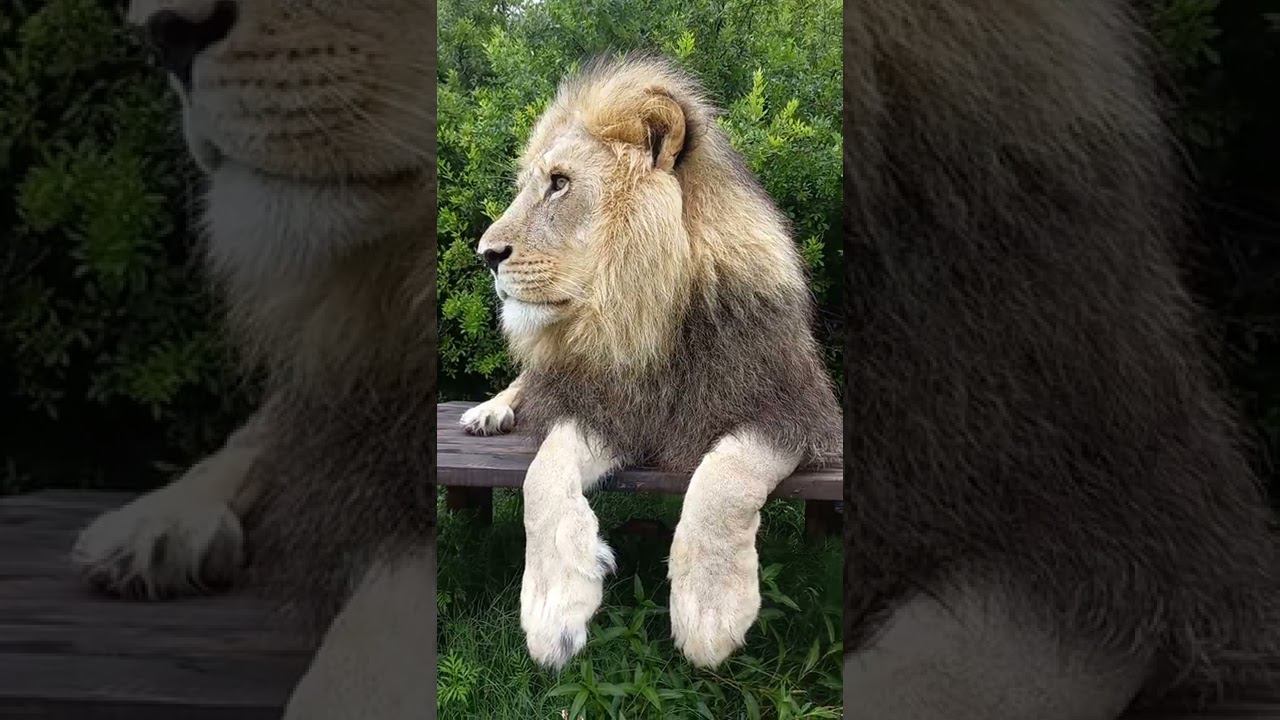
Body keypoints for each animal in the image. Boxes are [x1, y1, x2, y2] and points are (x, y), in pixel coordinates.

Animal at [460, 55, 841, 670]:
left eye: (559, 184)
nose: (486, 255)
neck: (643, 319)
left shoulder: (796, 412)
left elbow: (725, 478)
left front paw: (710, 609)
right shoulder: (605, 407)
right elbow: (541, 476)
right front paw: (553, 610)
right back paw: (488, 412)